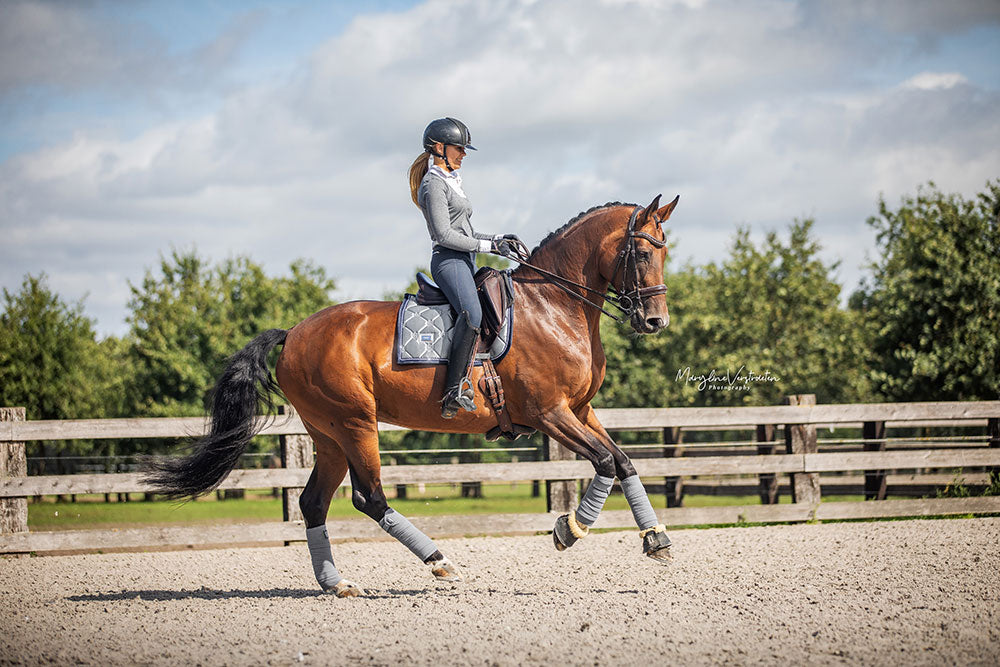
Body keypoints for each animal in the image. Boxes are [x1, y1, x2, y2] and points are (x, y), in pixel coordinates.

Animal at [146, 192, 680, 596]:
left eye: (664, 252)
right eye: (642, 253)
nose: (655, 322)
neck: (553, 305)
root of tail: (294, 332)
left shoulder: (581, 411)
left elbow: (624, 462)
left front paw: (656, 539)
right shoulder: (550, 413)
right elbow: (605, 463)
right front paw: (569, 530)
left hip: (328, 436)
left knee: (314, 503)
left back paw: (337, 584)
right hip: (355, 424)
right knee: (370, 498)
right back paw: (440, 562)